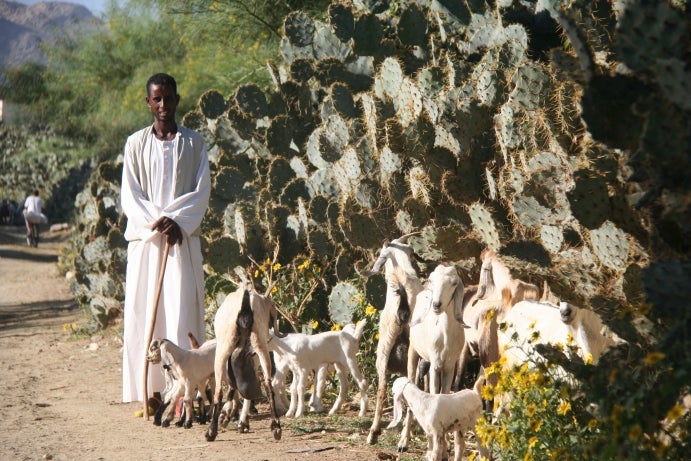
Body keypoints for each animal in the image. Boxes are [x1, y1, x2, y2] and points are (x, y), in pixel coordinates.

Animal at [205, 286, 284, 440]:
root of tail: (246, 300)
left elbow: (231, 385)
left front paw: (226, 416)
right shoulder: (251, 357)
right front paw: (236, 419)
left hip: (223, 349)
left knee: (219, 392)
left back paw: (211, 431)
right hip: (260, 345)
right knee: (268, 386)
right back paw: (276, 427)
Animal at [400, 264, 470, 452]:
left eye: (453, 283)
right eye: (432, 280)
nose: (436, 305)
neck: (444, 336)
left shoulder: (449, 367)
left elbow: (444, 395)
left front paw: (445, 445)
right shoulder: (436, 366)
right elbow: (433, 393)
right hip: (413, 353)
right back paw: (403, 442)